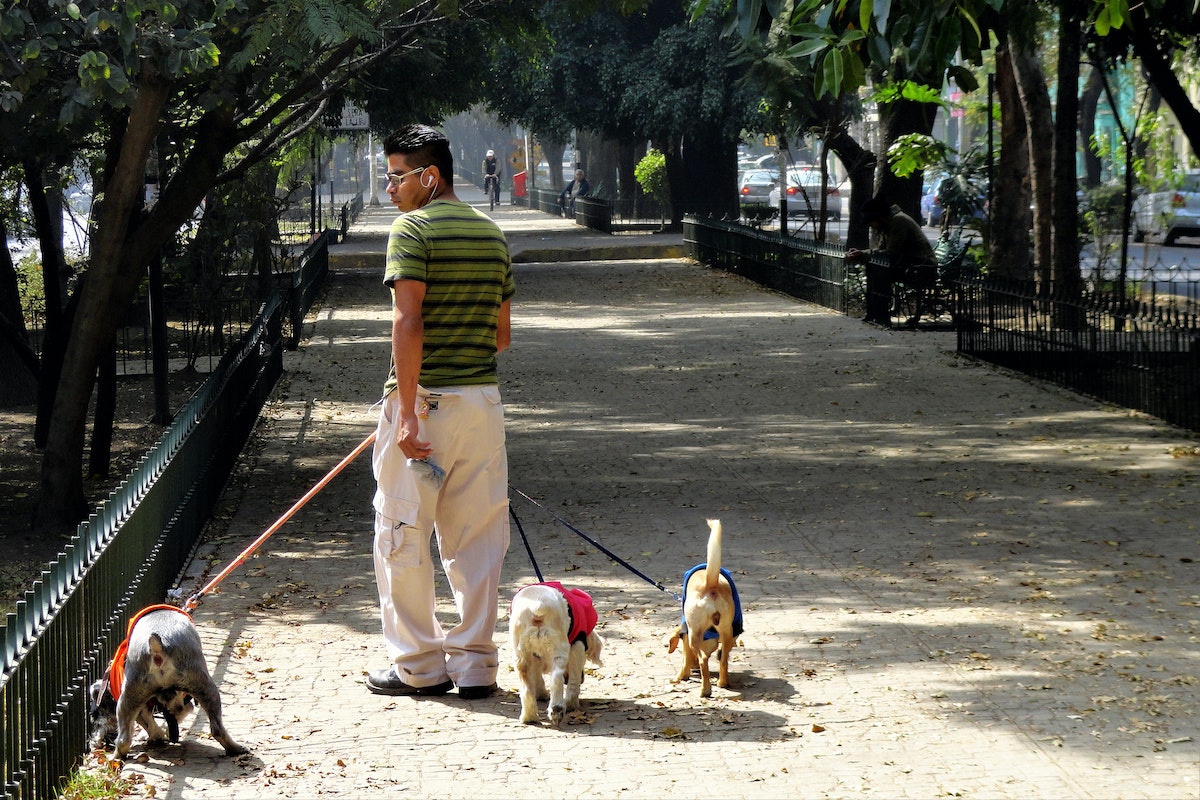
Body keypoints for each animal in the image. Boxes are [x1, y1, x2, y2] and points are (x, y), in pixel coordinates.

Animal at [87, 606, 247, 758]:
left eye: (95, 715)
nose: (95, 740)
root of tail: (157, 648)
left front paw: (157, 735)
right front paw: (161, 735)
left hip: (130, 697)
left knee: (123, 738)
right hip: (205, 688)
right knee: (216, 728)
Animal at [508, 582, 604, 724]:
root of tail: (537, 606)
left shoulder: (533, 655)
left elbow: (536, 675)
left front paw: (541, 694)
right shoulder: (577, 645)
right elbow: (574, 678)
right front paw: (571, 704)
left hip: (520, 653)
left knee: (526, 686)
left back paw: (529, 717)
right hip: (559, 648)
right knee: (557, 678)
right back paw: (557, 709)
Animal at [667, 522, 739, 695]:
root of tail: (710, 583)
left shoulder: (687, 637)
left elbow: (685, 661)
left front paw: (680, 677)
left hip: (694, 635)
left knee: (703, 660)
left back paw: (705, 690)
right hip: (727, 631)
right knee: (723, 660)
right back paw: (722, 683)